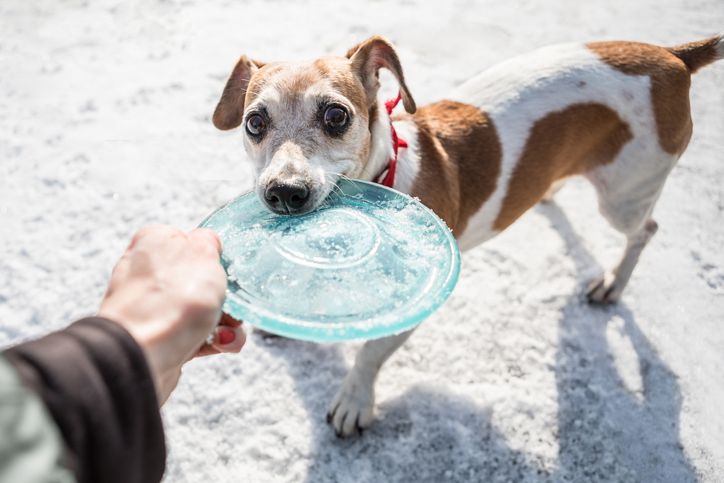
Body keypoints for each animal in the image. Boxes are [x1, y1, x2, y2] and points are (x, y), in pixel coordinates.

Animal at [212, 34, 724, 438]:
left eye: (336, 116)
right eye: (254, 122)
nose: (283, 193)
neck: (388, 171)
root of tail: (672, 55)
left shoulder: (419, 297)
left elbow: (371, 351)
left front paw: (355, 400)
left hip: (624, 197)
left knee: (645, 229)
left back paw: (613, 283)